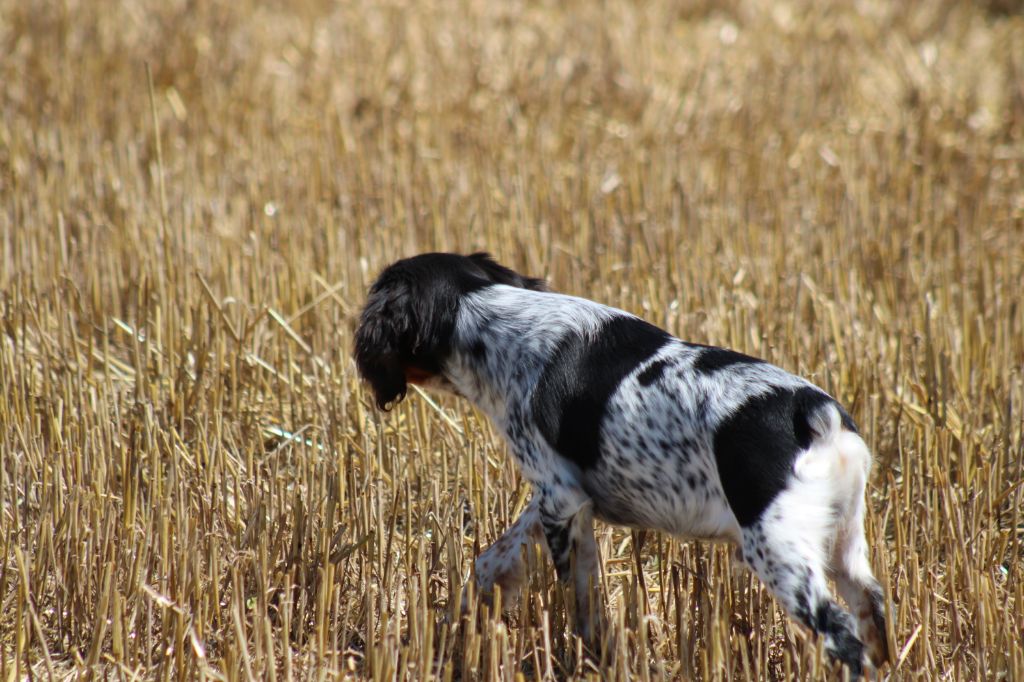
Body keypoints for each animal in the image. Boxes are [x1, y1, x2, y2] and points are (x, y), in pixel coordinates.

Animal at [352, 251, 888, 671]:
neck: (488, 315)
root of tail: (814, 413)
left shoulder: (558, 496)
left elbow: (577, 598)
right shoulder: (562, 497)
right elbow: (495, 559)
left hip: (778, 551)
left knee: (843, 637)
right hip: (845, 545)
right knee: (873, 614)